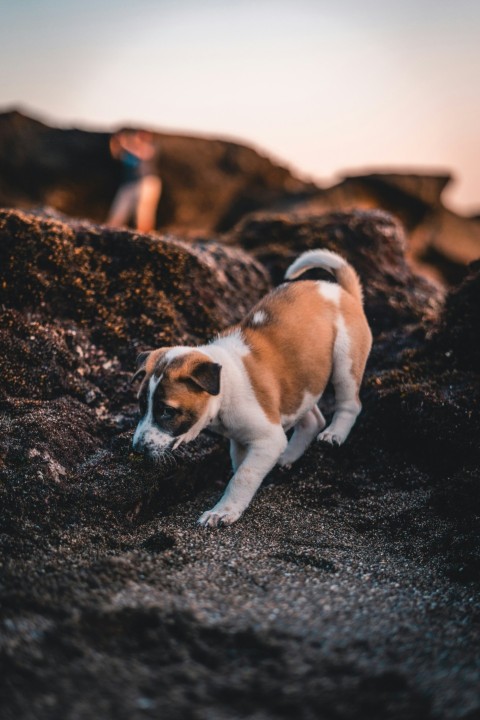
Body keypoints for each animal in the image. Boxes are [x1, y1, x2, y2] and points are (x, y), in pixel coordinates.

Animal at [133, 250, 374, 524]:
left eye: (167, 411)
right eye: (141, 407)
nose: (137, 450)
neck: (225, 385)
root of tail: (341, 291)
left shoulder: (268, 439)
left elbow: (242, 477)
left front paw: (223, 511)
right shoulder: (241, 440)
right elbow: (240, 467)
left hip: (345, 361)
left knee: (350, 404)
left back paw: (334, 434)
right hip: (301, 382)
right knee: (311, 417)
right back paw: (288, 456)